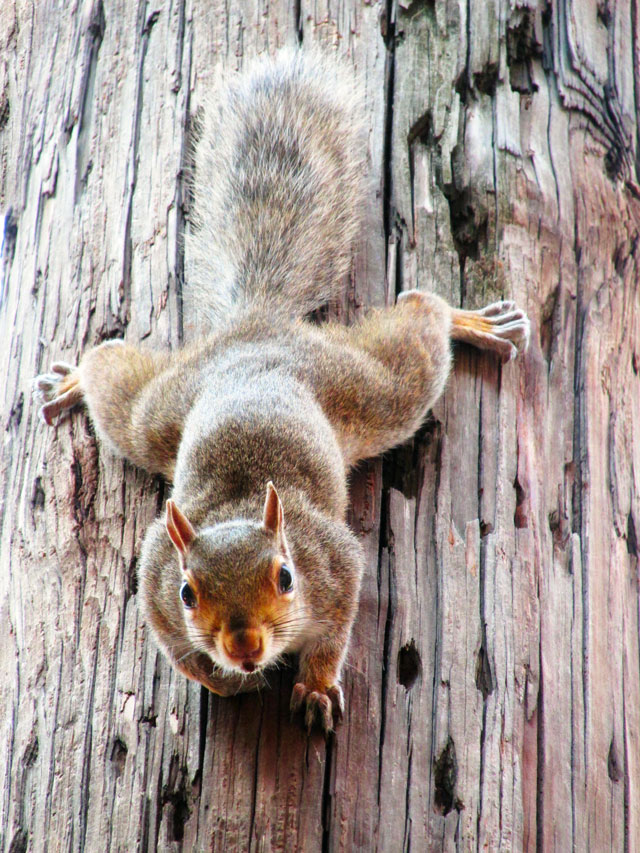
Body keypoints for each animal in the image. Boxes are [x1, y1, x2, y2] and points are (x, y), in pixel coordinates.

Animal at [34, 50, 529, 733]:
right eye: (188, 593)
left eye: (288, 578)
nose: (244, 647)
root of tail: (256, 327)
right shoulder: (155, 580)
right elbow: (183, 656)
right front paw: (225, 681)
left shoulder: (336, 564)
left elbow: (334, 634)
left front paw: (315, 688)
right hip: (153, 412)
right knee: (112, 370)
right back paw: (76, 377)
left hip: (372, 390)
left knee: (420, 318)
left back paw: (471, 322)